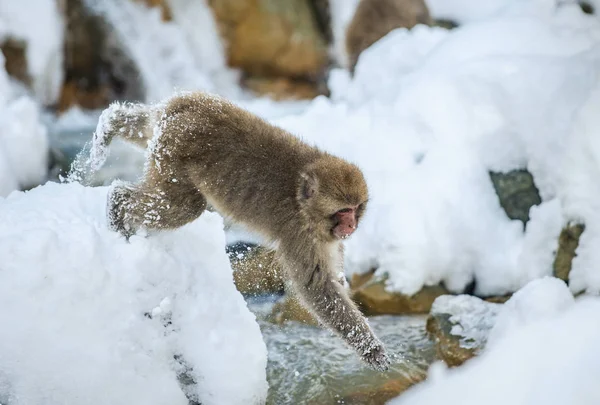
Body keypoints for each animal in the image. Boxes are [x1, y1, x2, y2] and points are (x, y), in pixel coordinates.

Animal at [86, 90, 392, 370]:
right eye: (342, 212)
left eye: (355, 208)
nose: (351, 225)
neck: (302, 198)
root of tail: (184, 105)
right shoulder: (299, 235)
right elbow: (317, 288)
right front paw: (372, 349)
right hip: (175, 152)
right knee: (183, 207)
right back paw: (117, 206)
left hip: (163, 139)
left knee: (148, 130)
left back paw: (112, 122)